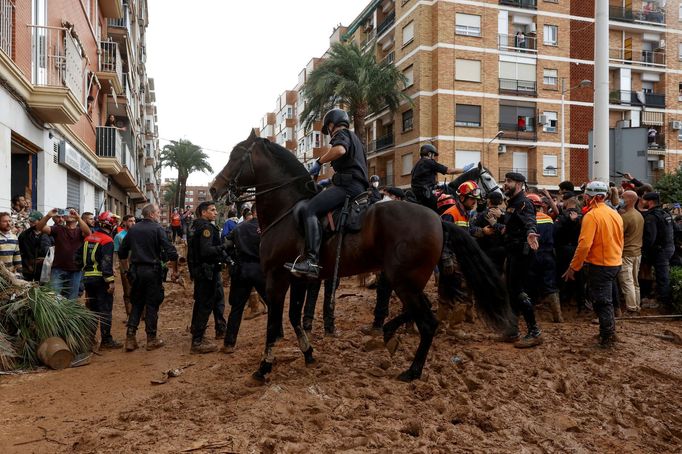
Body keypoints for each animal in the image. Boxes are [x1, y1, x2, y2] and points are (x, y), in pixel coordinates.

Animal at [210, 131, 512, 384]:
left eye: (236, 155)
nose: (214, 188)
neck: (287, 210)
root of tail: (437, 220)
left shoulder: (277, 278)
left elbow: (273, 324)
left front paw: (264, 368)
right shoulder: (297, 279)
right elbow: (294, 317)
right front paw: (308, 353)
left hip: (404, 280)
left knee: (428, 322)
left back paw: (412, 370)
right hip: (408, 280)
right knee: (423, 312)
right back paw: (391, 336)